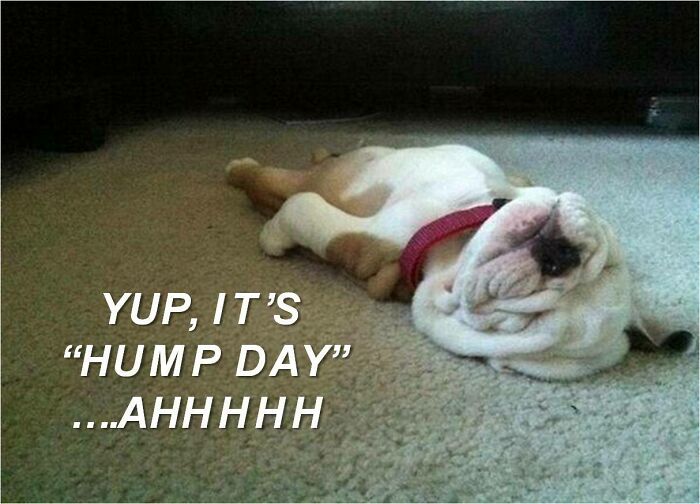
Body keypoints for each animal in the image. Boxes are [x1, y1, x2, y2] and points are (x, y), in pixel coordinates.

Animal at [226, 144, 696, 380]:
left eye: (511, 323)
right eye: (610, 266)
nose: (559, 257)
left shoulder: (367, 238)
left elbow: (298, 203)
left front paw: (273, 233)